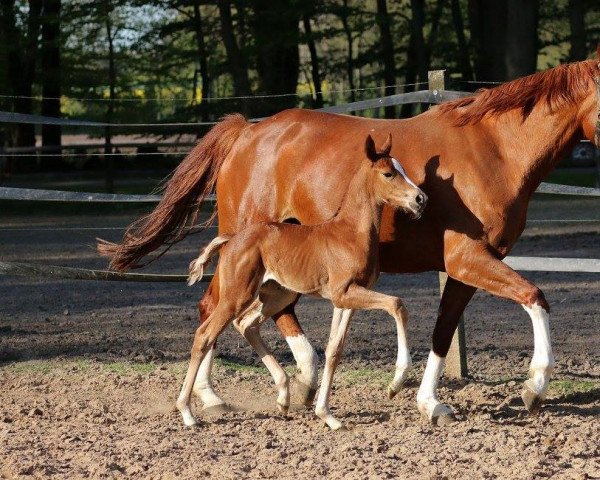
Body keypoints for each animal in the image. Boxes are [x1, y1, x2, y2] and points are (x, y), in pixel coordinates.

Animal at [176, 133, 424, 430]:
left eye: (403, 169)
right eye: (388, 173)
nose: (420, 198)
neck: (350, 233)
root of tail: (231, 239)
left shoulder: (346, 298)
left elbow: (334, 350)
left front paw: (327, 415)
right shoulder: (345, 293)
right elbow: (397, 304)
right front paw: (395, 384)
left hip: (275, 295)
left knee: (246, 325)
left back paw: (283, 396)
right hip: (237, 295)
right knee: (205, 334)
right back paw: (188, 413)